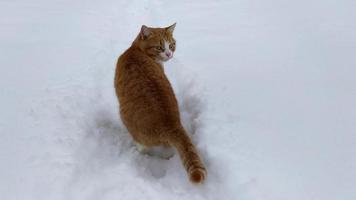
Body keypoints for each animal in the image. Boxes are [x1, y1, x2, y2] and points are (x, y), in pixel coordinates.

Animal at [114, 23, 206, 184]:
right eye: (159, 47)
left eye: (172, 45)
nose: (169, 54)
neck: (136, 50)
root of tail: (172, 125)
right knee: (168, 152)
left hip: (126, 119)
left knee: (143, 147)